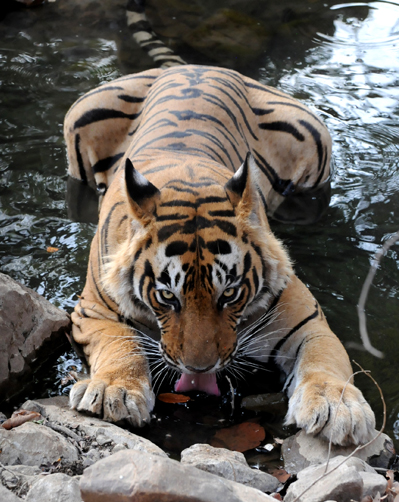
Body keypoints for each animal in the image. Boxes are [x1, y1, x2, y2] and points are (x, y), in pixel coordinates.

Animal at [64, 61, 376, 444]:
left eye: (229, 293)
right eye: (167, 296)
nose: (200, 369)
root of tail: (195, 65)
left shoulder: (308, 322)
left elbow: (325, 358)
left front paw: (338, 407)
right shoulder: (94, 311)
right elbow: (121, 343)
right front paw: (114, 392)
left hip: (313, 139)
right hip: (82, 113)